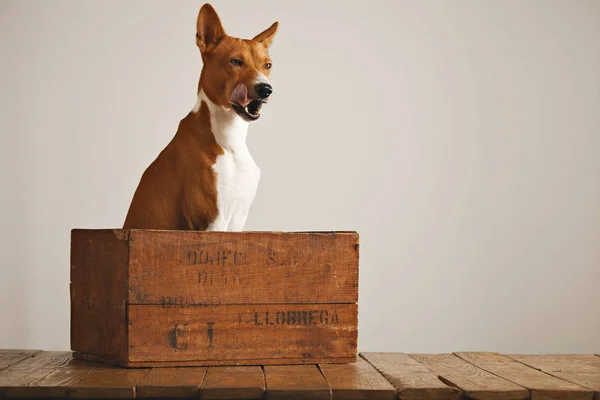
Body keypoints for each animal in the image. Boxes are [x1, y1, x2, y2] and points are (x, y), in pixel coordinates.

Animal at [125, 3, 280, 231]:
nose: (266, 89)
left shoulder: (237, 221)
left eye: (267, 65)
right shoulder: (212, 221)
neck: (229, 140)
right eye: (235, 61)